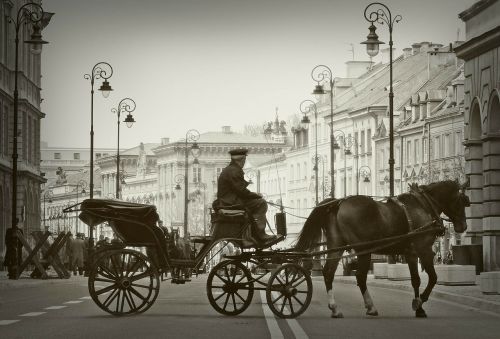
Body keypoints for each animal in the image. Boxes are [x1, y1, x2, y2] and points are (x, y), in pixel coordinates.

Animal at [292, 181, 468, 318]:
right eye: (462, 201)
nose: (463, 226)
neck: (423, 205)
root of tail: (338, 203)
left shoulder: (411, 254)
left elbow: (416, 280)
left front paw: (419, 309)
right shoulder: (424, 250)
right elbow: (433, 278)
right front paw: (420, 301)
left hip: (336, 246)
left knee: (329, 273)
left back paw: (335, 309)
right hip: (363, 249)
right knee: (360, 277)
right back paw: (370, 307)